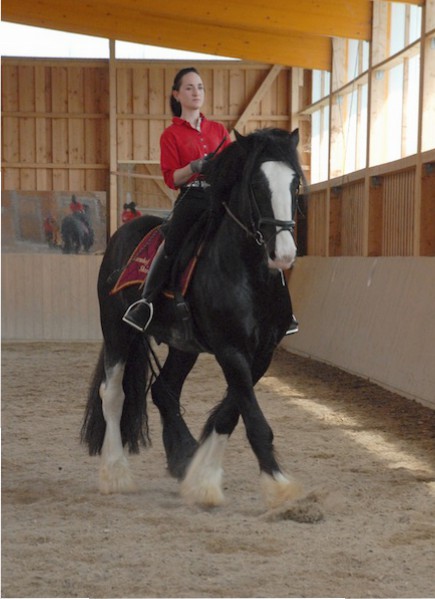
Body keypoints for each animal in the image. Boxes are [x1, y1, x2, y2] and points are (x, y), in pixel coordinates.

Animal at [82, 127, 306, 510]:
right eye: (257, 184)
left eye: (295, 184)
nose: (284, 254)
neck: (249, 275)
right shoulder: (231, 350)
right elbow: (253, 419)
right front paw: (279, 486)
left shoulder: (262, 353)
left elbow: (229, 413)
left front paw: (201, 479)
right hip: (116, 331)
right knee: (112, 394)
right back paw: (116, 474)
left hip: (182, 345)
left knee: (163, 389)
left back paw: (182, 457)